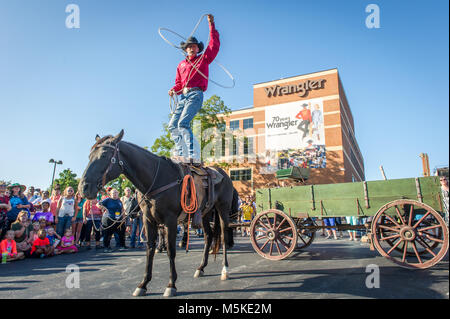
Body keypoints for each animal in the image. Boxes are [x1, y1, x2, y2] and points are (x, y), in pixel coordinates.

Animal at [79, 131, 237, 298]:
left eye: (104, 155)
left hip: (222, 209)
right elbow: (150, 249)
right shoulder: (148, 220)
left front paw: (171, 284)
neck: (157, 179)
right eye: (89, 155)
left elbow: (171, 251)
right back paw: (201, 268)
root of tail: (223, 174)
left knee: (224, 236)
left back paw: (225, 270)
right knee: (208, 236)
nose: (83, 188)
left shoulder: (170, 220)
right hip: (205, 214)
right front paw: (143, 284)